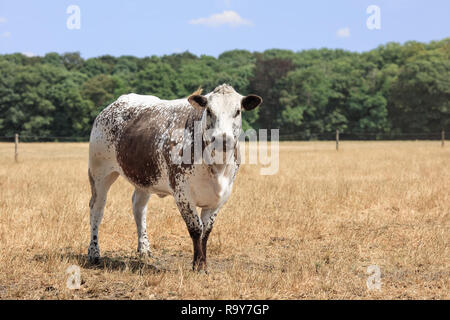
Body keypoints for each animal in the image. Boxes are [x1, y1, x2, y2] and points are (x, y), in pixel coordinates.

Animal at [88, 84, 262, 270]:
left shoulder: (220, 197)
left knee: (139, 208)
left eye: (237, 111)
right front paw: (197, 265)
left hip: (145, 178)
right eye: (209, 111)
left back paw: (144, 249)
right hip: (100, 172)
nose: (222, 139)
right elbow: (196, 229)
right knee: (97, 209)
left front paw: (203, 264)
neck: (217, 167)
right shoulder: (182, 194)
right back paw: (94, 252)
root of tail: (114, 105)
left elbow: (206, 231)